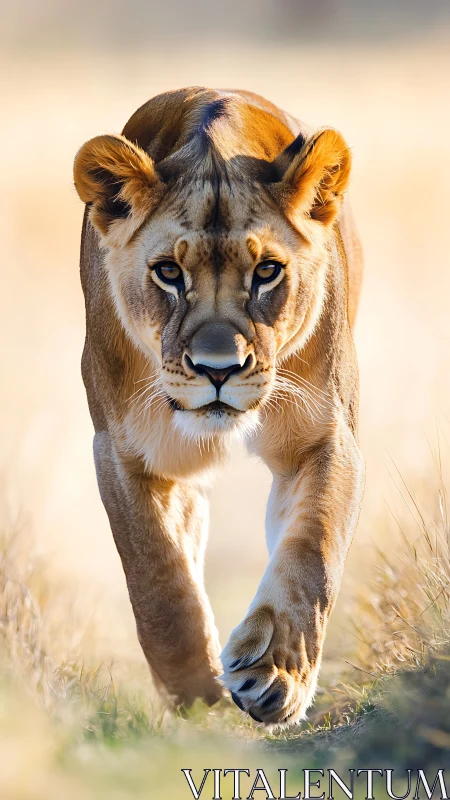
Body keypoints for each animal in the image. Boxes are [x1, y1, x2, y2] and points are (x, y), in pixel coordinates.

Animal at [73, 87, 364, 727]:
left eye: (267, 271)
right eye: (167, 272)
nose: (217, 369)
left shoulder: (325, 436)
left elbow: (311, 550)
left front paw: (276, 674)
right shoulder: (126, 450)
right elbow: (157, 575)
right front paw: (194, 693)